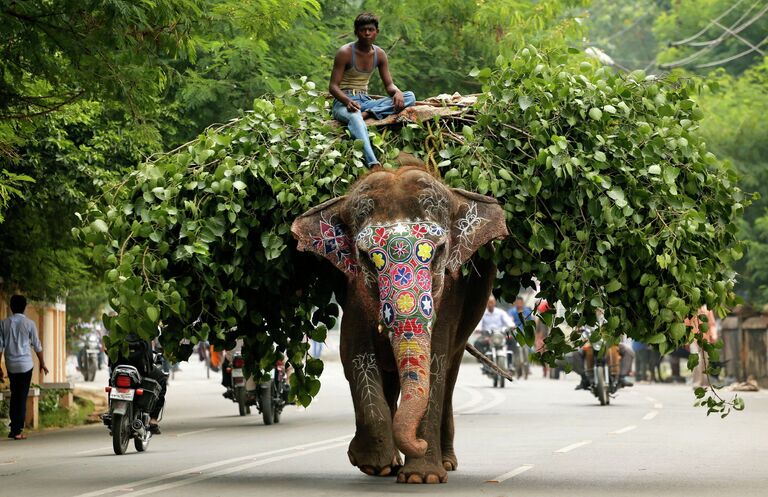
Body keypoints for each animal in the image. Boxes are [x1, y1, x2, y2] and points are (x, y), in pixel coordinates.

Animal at [292, 165, 508, 482]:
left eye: (439, 250)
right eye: (367, 256)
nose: (418, 443)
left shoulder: (451, 291)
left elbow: (436, 361)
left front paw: (422, 477)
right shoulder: (354, 290)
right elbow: (355, 354)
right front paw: (374, 464)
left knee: (451, 372)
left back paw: (446, 463)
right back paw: (390, 462)